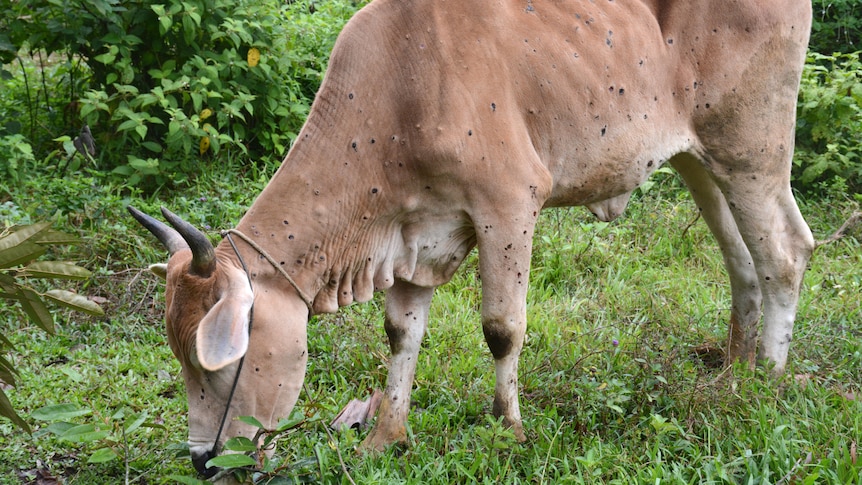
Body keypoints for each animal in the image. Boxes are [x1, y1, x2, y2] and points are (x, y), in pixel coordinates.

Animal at [130, 0, 816, 476]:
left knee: (786, 251)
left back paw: (766, 381)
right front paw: (386, 436)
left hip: (752, 148)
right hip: (699, 159)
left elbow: (501, 328)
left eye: (224, 362)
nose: (202, 462)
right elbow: (401, 331)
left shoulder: (509, 205)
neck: (398, 91)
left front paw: (508, 429)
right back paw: (731, 370)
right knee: (742, 259)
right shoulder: (416, 235)